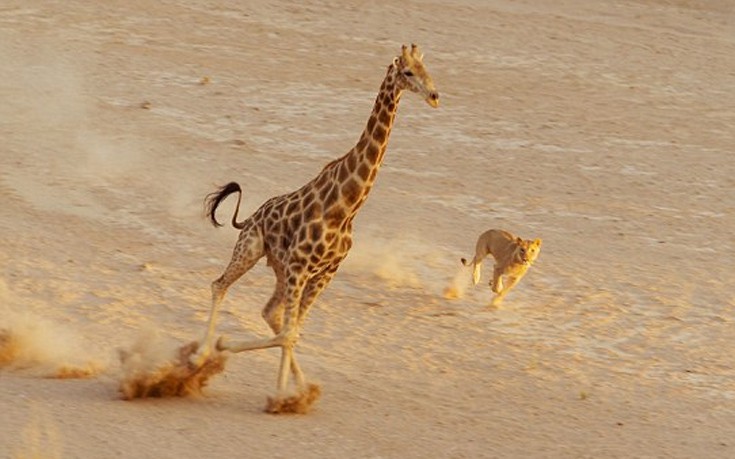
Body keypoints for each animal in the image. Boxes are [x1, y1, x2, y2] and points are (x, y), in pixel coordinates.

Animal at [193, 45, 440, 414]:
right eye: (408, 72)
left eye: (428, 69)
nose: (435, 96)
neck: (346, 206)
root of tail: (250, 217)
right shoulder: (300, 267)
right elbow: (289, 333)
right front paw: (270, 385)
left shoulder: (325, 272)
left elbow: (292, 331)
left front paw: (294, 392)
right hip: (251, 248)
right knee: (219, 285)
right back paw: (201, 355)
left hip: (280, 269)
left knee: (270, 311)